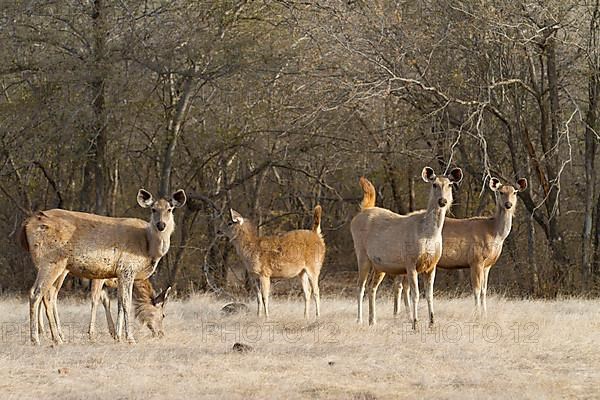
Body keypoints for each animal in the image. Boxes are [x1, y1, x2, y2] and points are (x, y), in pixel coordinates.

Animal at [18, 188, 185, 344]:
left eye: (170, 209)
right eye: (153, 209)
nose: (161, 225)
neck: (148, 247)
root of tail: (27, 223)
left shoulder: (116, 274)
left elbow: (118, 303)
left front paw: (117, 336)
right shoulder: (126, 268)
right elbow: (124, 303)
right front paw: (129, 338)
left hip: (57, 266)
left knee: (49, 294)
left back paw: (57, 337)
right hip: (50, 260)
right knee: (36, 292)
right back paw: (37, 339)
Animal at [352, 167, 464, 330]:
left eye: (450, 185)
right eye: (434, 184)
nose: (442, 201)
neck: (428, 235)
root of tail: (360, 213)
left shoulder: (432, 265)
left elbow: (430, 295)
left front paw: (432, 323)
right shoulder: (410, 261)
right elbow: (415, 295)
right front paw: (415, 324)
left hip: (380, 265)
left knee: (371, 287)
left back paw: (372, 321)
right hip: (361, 254)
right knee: (360, 287)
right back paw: (359, 320)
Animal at [392, 178, 528, 318]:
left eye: (515, 192)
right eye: (501, 192)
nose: (508, 204)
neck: (494, 232)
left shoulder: (488, 265)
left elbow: (484, 290)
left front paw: (485, 314)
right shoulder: (475, 260)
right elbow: (476, 290)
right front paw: (477, 315)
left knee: (402, 285)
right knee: (400, 285)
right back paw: (400, 314)